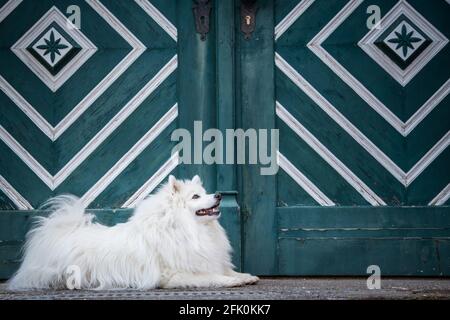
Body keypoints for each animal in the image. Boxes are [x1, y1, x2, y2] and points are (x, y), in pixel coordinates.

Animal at [8, 175, 258, 290]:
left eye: (205, 193)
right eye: (196, 197)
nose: (219, 195)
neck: (187, 228)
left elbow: (226, 270)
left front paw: (245, 276)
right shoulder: (175, 274)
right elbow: (212, 277)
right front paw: (230, 281)